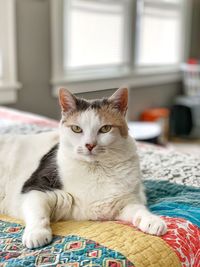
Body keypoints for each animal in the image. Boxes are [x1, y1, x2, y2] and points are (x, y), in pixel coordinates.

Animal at [0, 88, 167, 249]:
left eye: (105, 128)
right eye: (76, 129)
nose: (89, 145)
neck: (95, 169)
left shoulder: (123, 202)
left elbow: (139, 209)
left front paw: (152, 221)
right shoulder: (35, 187)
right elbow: (37, 212)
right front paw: (36, 234)